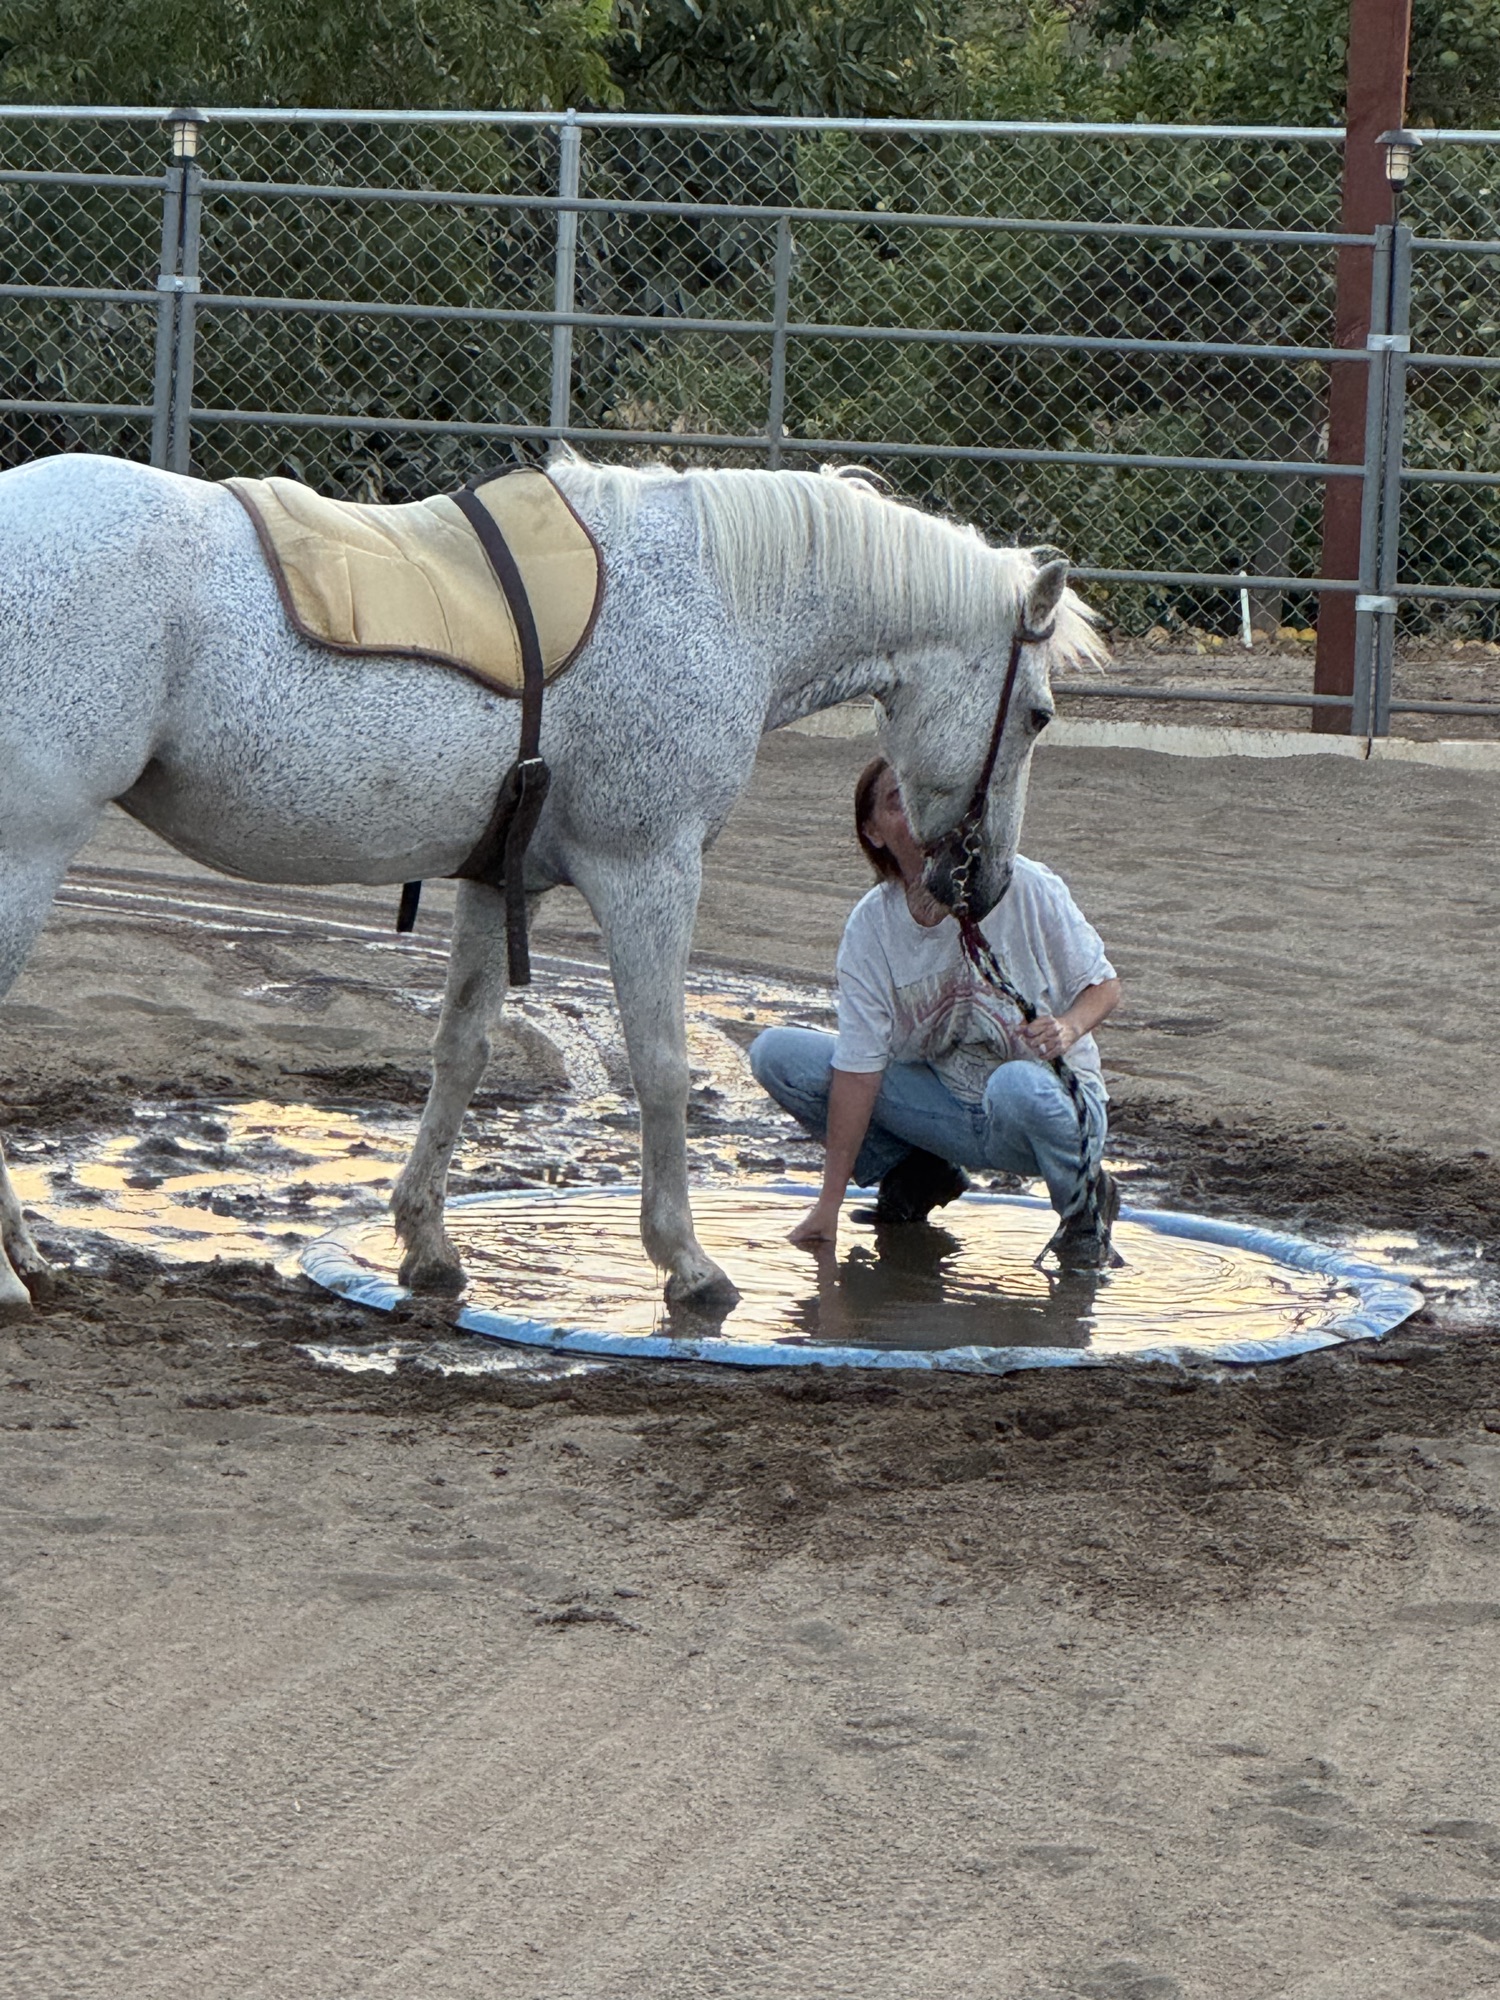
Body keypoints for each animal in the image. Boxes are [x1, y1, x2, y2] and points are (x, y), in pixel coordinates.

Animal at [0, 448, 1103, 1316]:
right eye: (1040, 714)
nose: (982, 885)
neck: (711, 601)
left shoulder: (503, 882)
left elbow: (462, 1049)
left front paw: (427, 1243)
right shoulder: (648, 868)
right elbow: (661, 1066)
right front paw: (687, 1262)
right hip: (26, 852)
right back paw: (13, 1272)